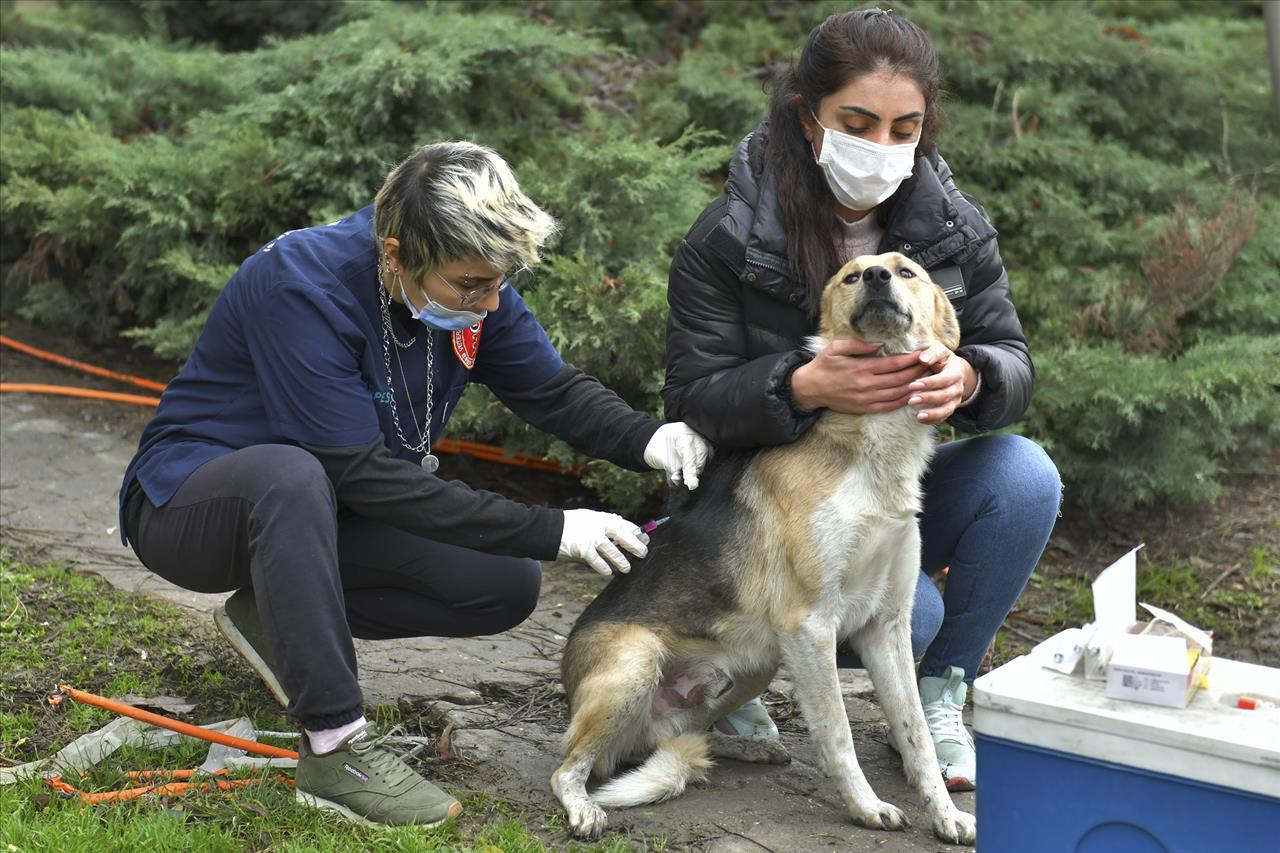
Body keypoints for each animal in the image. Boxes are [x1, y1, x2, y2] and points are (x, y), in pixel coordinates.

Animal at [545, 252, 972, 845]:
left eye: (906, 271)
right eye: (851, 276)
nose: (876, 278)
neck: (870, 451)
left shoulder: (886, 627)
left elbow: (918, 739)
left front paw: (946, 815)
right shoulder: (810, 625)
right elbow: (837, 733)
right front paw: (866, 806)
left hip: (756, 664)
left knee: (675, 739)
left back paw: (745, 745)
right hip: (639, 661)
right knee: (569, 768)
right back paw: (584, 807)